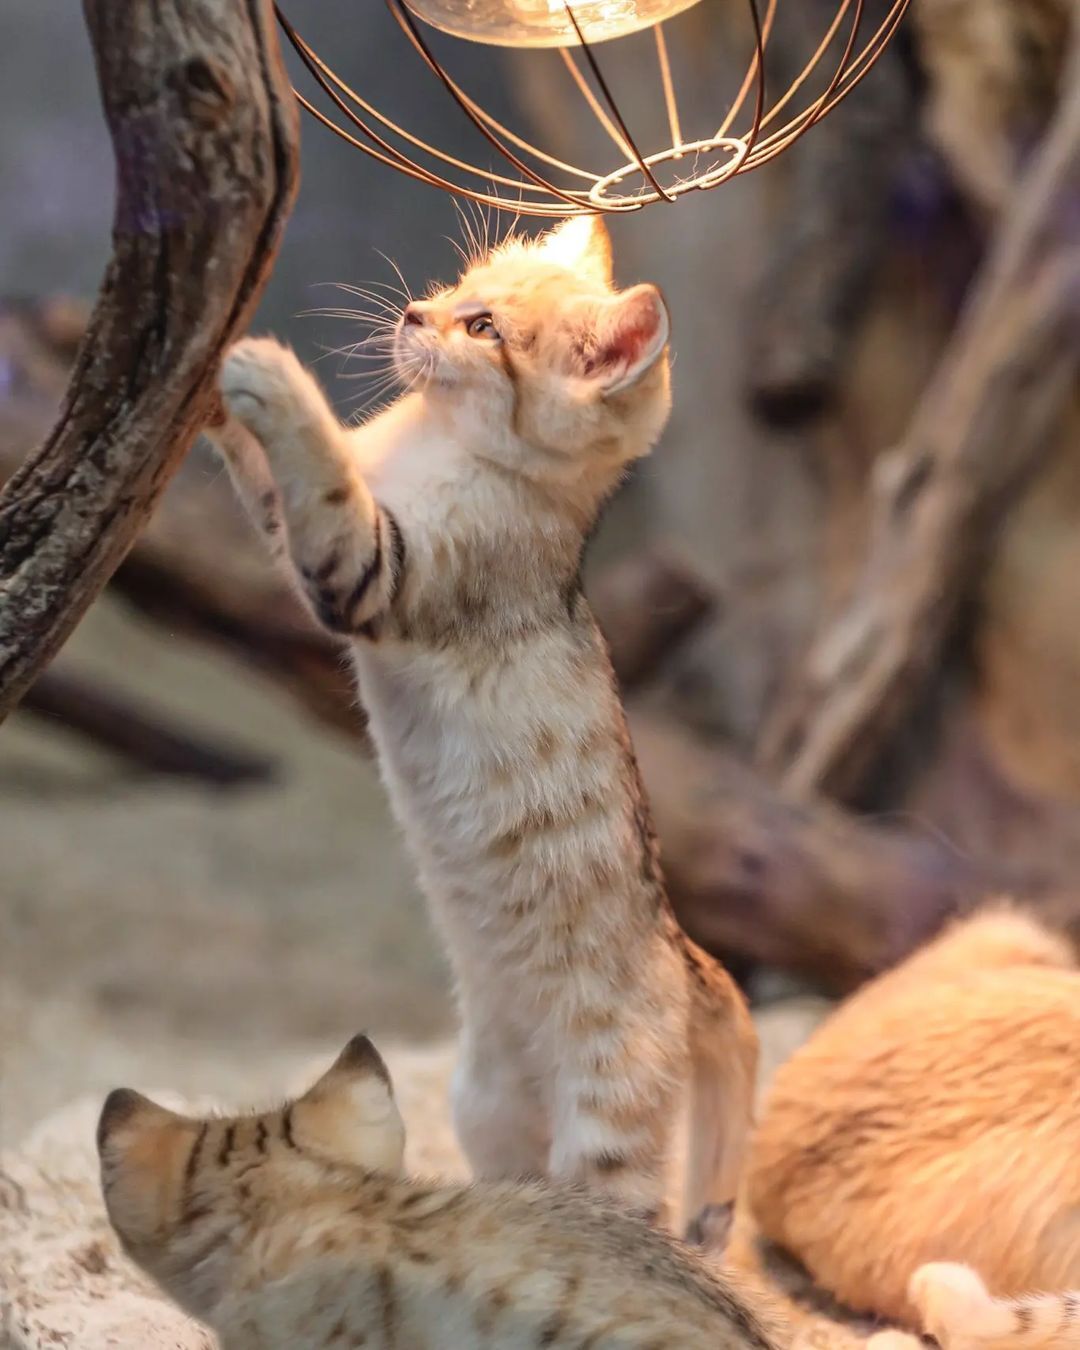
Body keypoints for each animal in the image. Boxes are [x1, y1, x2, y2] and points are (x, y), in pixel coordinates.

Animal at [209, 216, 750, 1236]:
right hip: (485, 1106)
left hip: (608, 1134)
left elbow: (324, 482)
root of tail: (688, 955)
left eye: (484, 328)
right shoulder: (298, 535)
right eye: (457, 289)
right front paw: (211, 373)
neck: (434, 441)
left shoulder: (378, 573)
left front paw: (271, 374)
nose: (415, 314)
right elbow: (274, 482)